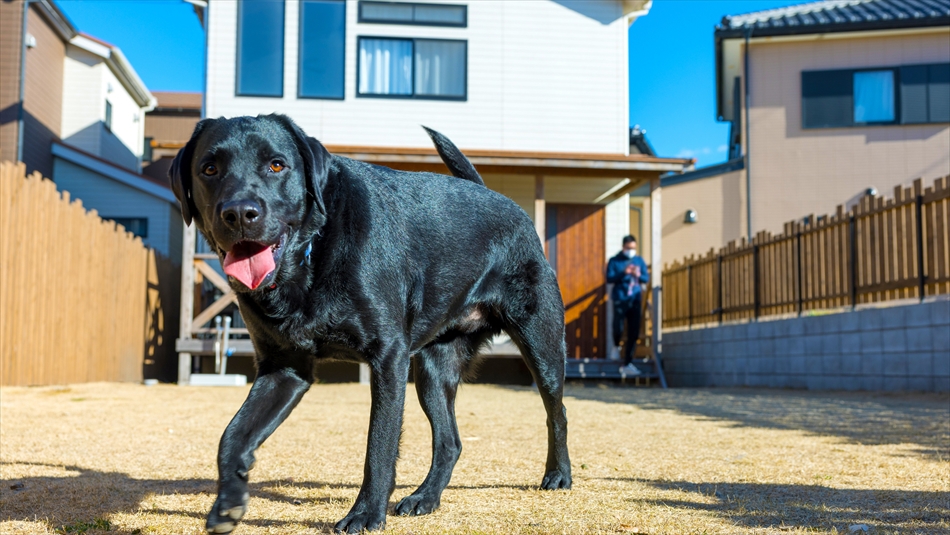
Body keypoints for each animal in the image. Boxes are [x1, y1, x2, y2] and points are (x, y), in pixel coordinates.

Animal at [169, 115, 572, 532]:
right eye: (209, 169)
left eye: (277, 165)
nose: (239, 213)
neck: (312, 256)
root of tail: (501, 199)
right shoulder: (284, 369)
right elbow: (232, 436)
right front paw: (228, 503)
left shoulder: (388, 358)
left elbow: (378, 445)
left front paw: (364, 514)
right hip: (432, 370)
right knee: (450, 442)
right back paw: (425, 498)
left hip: (540, 345)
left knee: (557, 412)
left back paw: (558, 475)